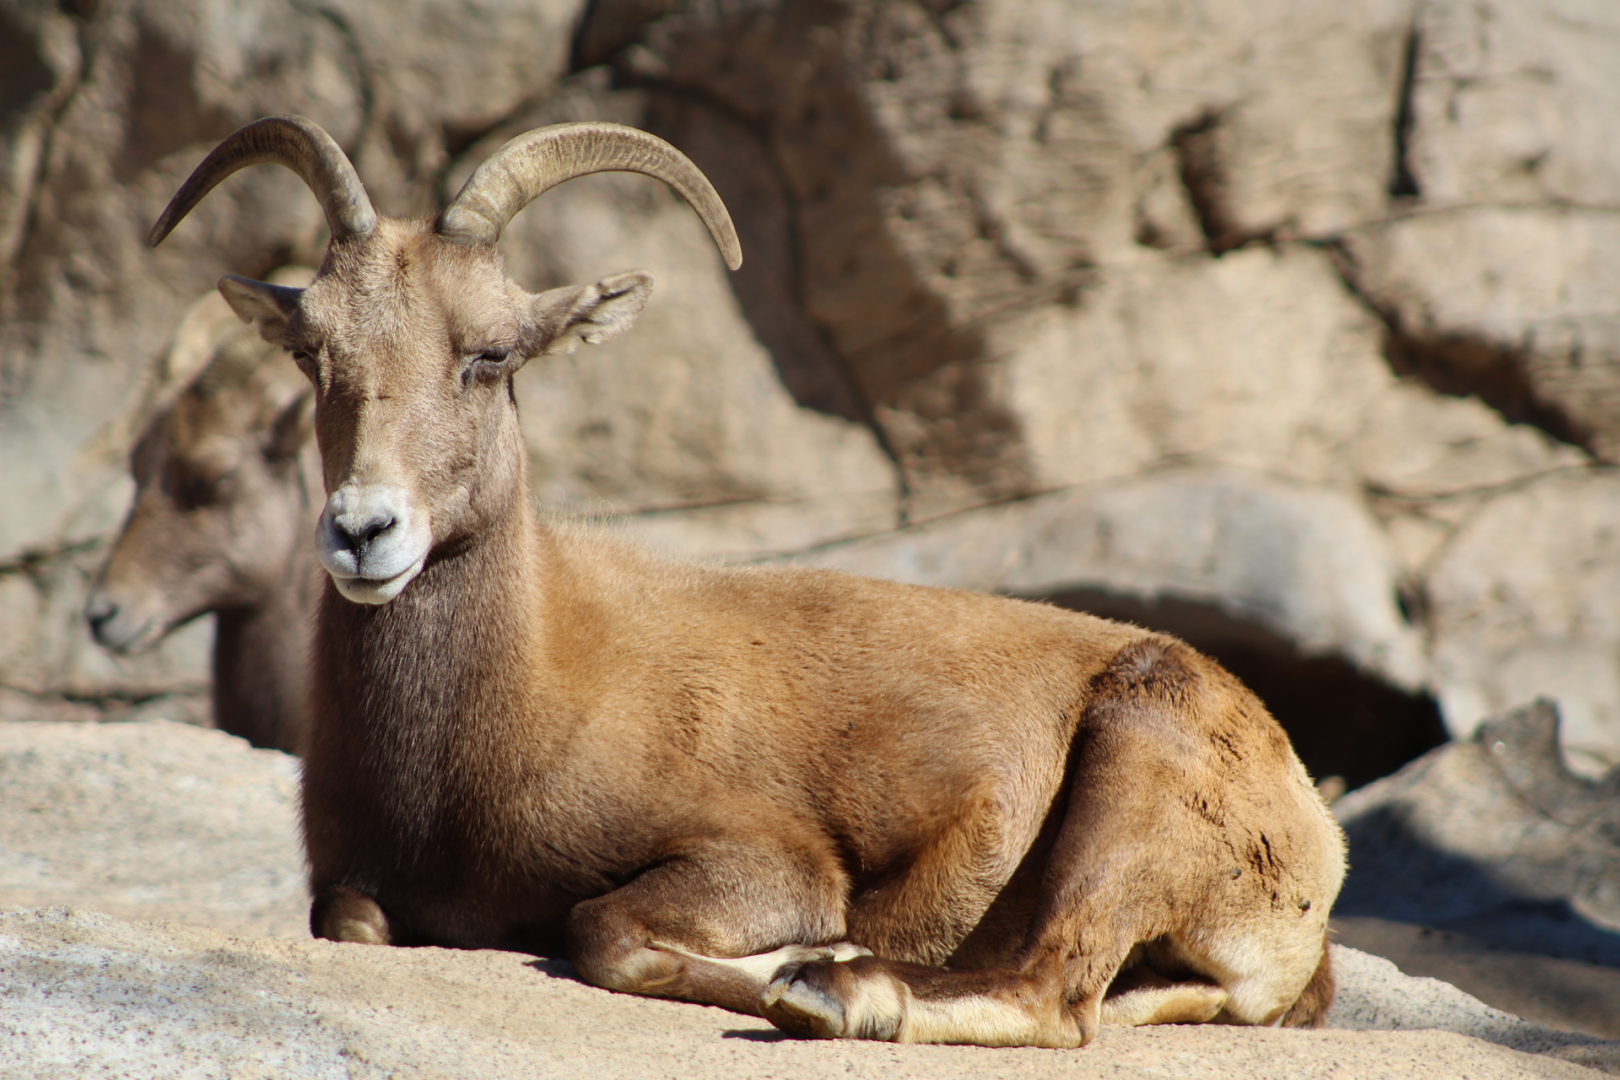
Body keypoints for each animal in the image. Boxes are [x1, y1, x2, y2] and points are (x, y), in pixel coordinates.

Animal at [147, 115, 1346, 1047]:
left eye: (490, 354)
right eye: (313, 353)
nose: (364, 532)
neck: (513, 703)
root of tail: (1310, 848)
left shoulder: (762, 861)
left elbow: (603, 931)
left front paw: (799, 963)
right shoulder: (356, 886)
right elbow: (349, 919)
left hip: (1127, 776)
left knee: (1056, 993)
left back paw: (838, 993)